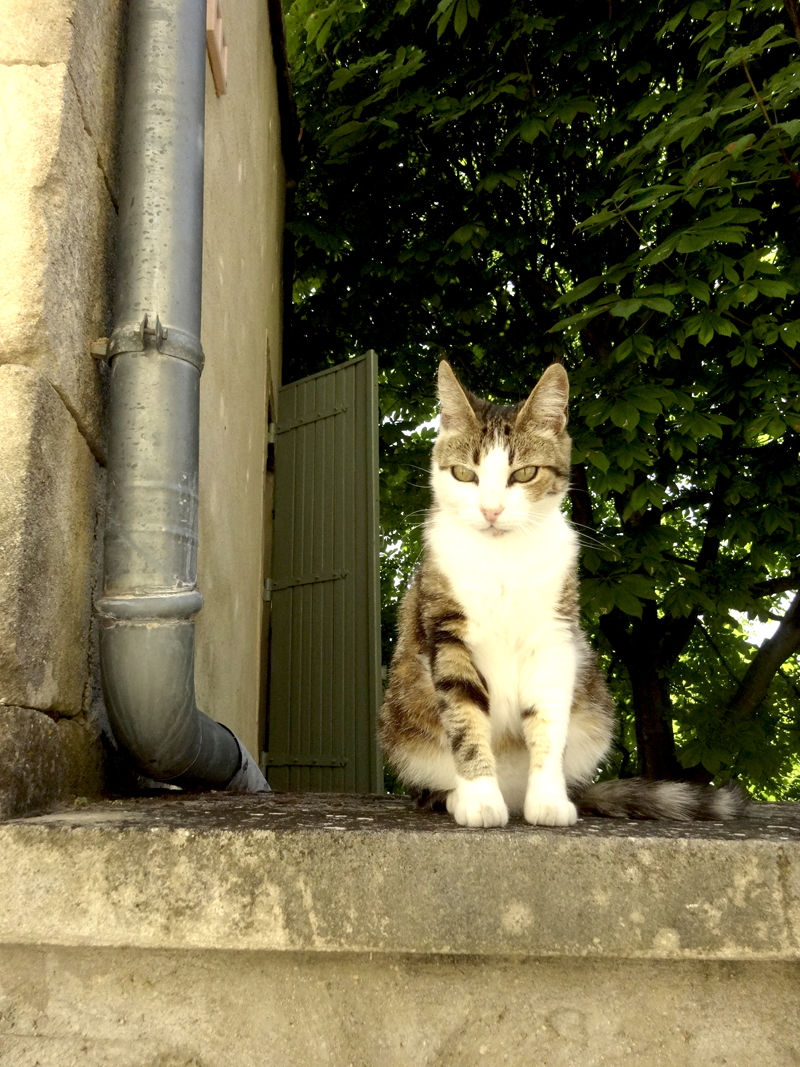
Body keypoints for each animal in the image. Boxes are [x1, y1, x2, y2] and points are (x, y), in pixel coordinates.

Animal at [379, 362, 750, 827]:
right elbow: (464, 718)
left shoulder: (555, 636)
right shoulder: (446, 633)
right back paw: (451, 796)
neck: (502, 558)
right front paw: (479, 797)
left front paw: (549, 799)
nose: (491, 510)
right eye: (464, 474)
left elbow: (549, 722)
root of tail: (512, 792)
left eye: (524, 473)